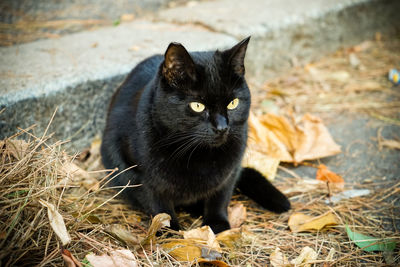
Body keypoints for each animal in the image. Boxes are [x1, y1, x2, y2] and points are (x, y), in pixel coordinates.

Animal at [98, 37, 290, 234]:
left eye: (233, 103)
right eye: (197, 106)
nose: (222, 127)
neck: (198, 155)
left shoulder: (230, 171)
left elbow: (220, 197)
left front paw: (217, 225)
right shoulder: (138, 173)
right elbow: (159, 206)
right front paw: (169, 231)